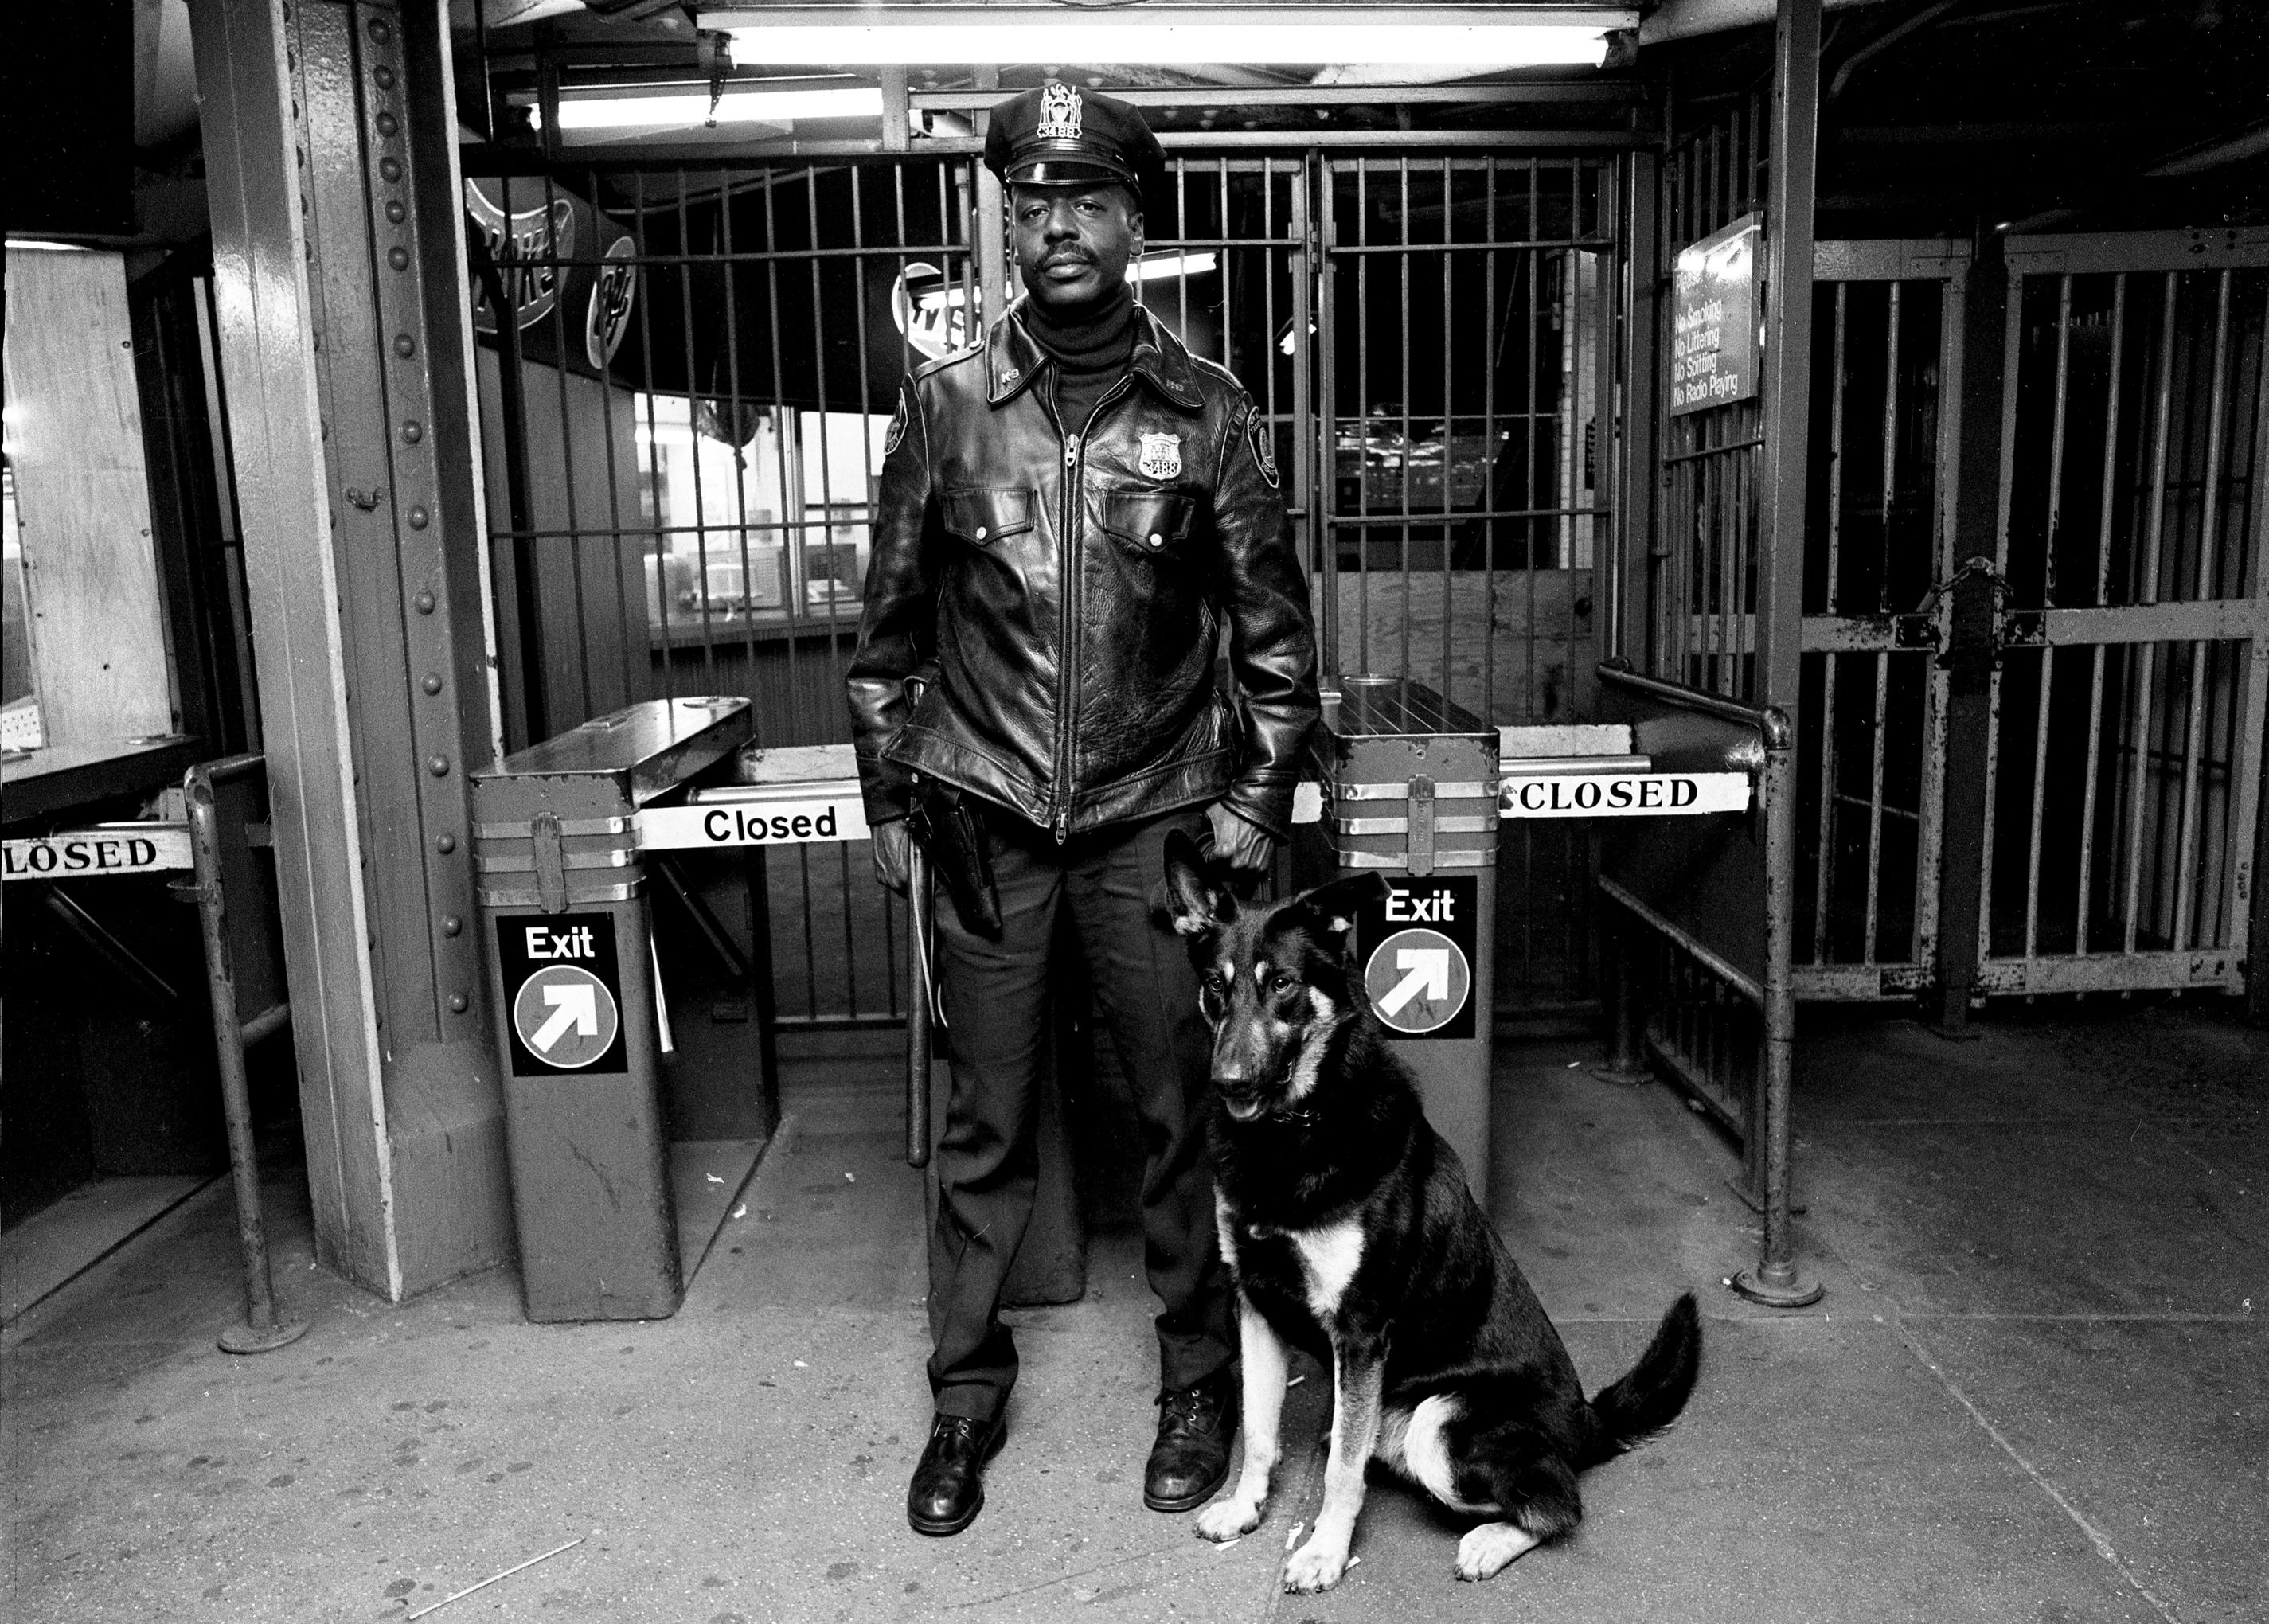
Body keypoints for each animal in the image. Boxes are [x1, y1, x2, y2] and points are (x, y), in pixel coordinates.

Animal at [1162, 830, 1697, 1596]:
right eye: (1215, 986)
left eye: (1283, 985)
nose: (1227, 1081)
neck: (1298, 1130)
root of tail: (1585, 1420)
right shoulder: (1256, 1304)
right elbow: (1260, 1433)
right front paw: (1245, 1507)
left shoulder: (1358, 1331)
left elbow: (1340, 1474)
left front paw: (1324, 1551)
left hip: (1438, 1424)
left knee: (1558, 1501)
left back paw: (1488, 1542)